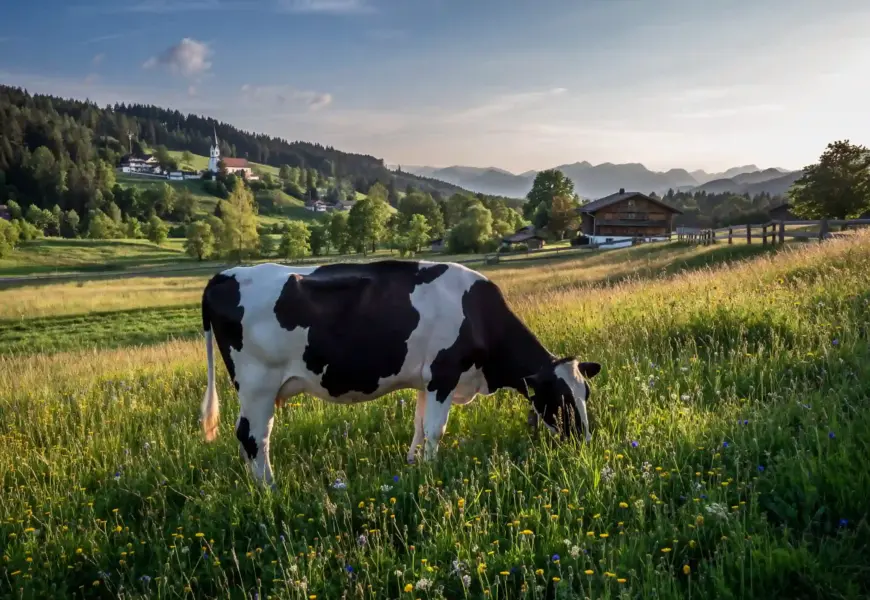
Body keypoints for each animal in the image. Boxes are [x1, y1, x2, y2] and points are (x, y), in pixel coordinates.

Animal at [200, 260, 601, 485]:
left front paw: (414, 464)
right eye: (561, 398)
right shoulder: (444, 373)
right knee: (254, 435)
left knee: (248, 439)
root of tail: (225, 274)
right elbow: (436, 430)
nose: (585, 442)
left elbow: (420, 426)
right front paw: (432, 471)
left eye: (586, 394)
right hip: (258, 384)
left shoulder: (427, 381)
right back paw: (269, 488)